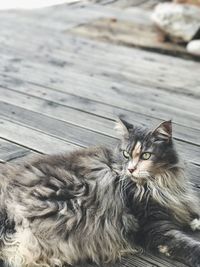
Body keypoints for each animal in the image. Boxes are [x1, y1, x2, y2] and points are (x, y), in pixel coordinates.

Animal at [0, 119, 200, 267]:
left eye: (146, 156)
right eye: (126, 154)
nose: (131, 169)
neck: (159, 182)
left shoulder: (178, 201)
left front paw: (195, 222)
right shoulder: (154, 225)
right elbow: (185, 244)